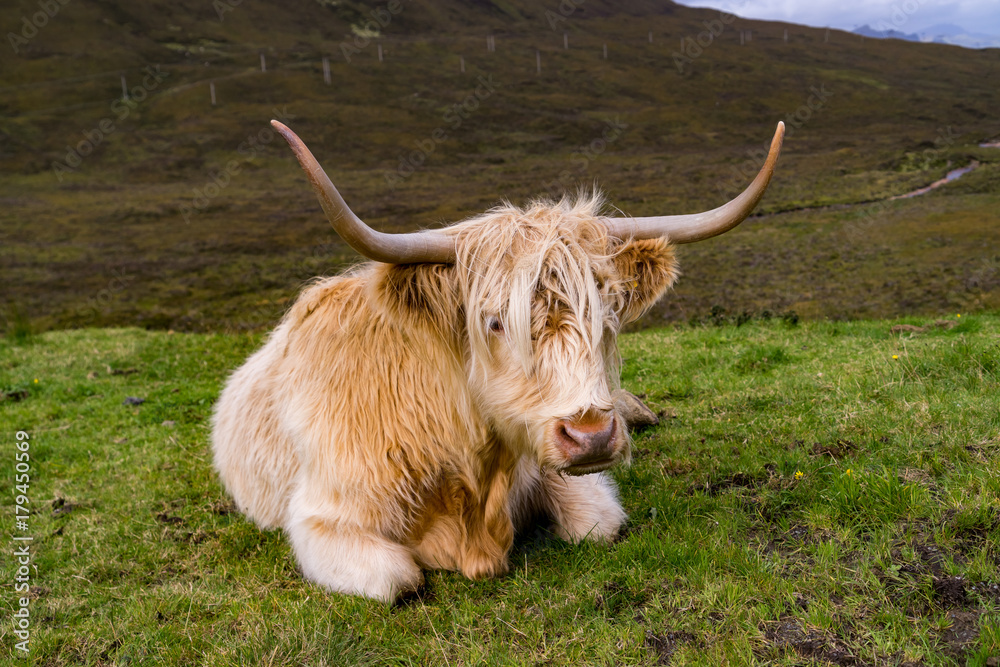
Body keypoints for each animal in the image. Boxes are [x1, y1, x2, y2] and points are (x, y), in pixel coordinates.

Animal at [212, 120, 784, 601]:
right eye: (493, 321)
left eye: (608, 310)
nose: (592, 435)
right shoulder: (323, 519)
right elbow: (398, 578)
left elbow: (597, 526)